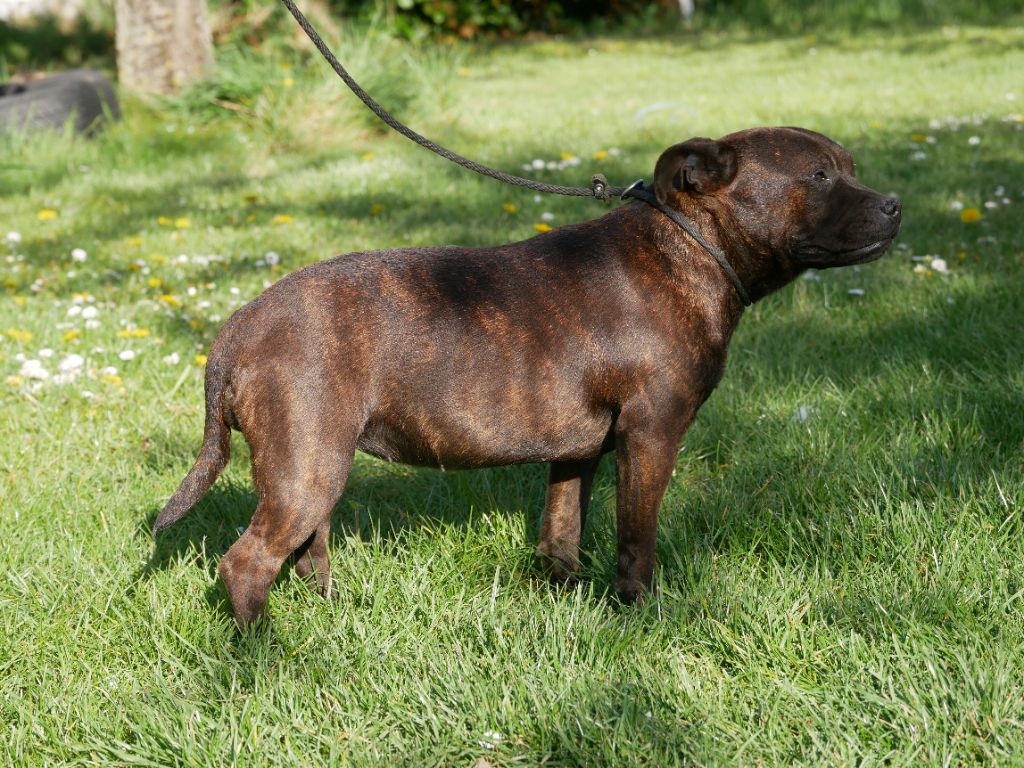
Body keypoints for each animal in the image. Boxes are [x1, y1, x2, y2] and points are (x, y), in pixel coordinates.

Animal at [153, 126, 905, 626]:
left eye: (850, 168)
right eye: (818, 177)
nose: (894, 204)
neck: (688, 247)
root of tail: (239, 327)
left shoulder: (577, 453)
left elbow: (561, 531)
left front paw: (567, 600)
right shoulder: (650, 437)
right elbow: (636, 540)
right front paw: (640, 617)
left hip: (313, 466)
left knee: (309, 551)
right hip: (305, 467)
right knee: (248, 561)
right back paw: (261, 654)